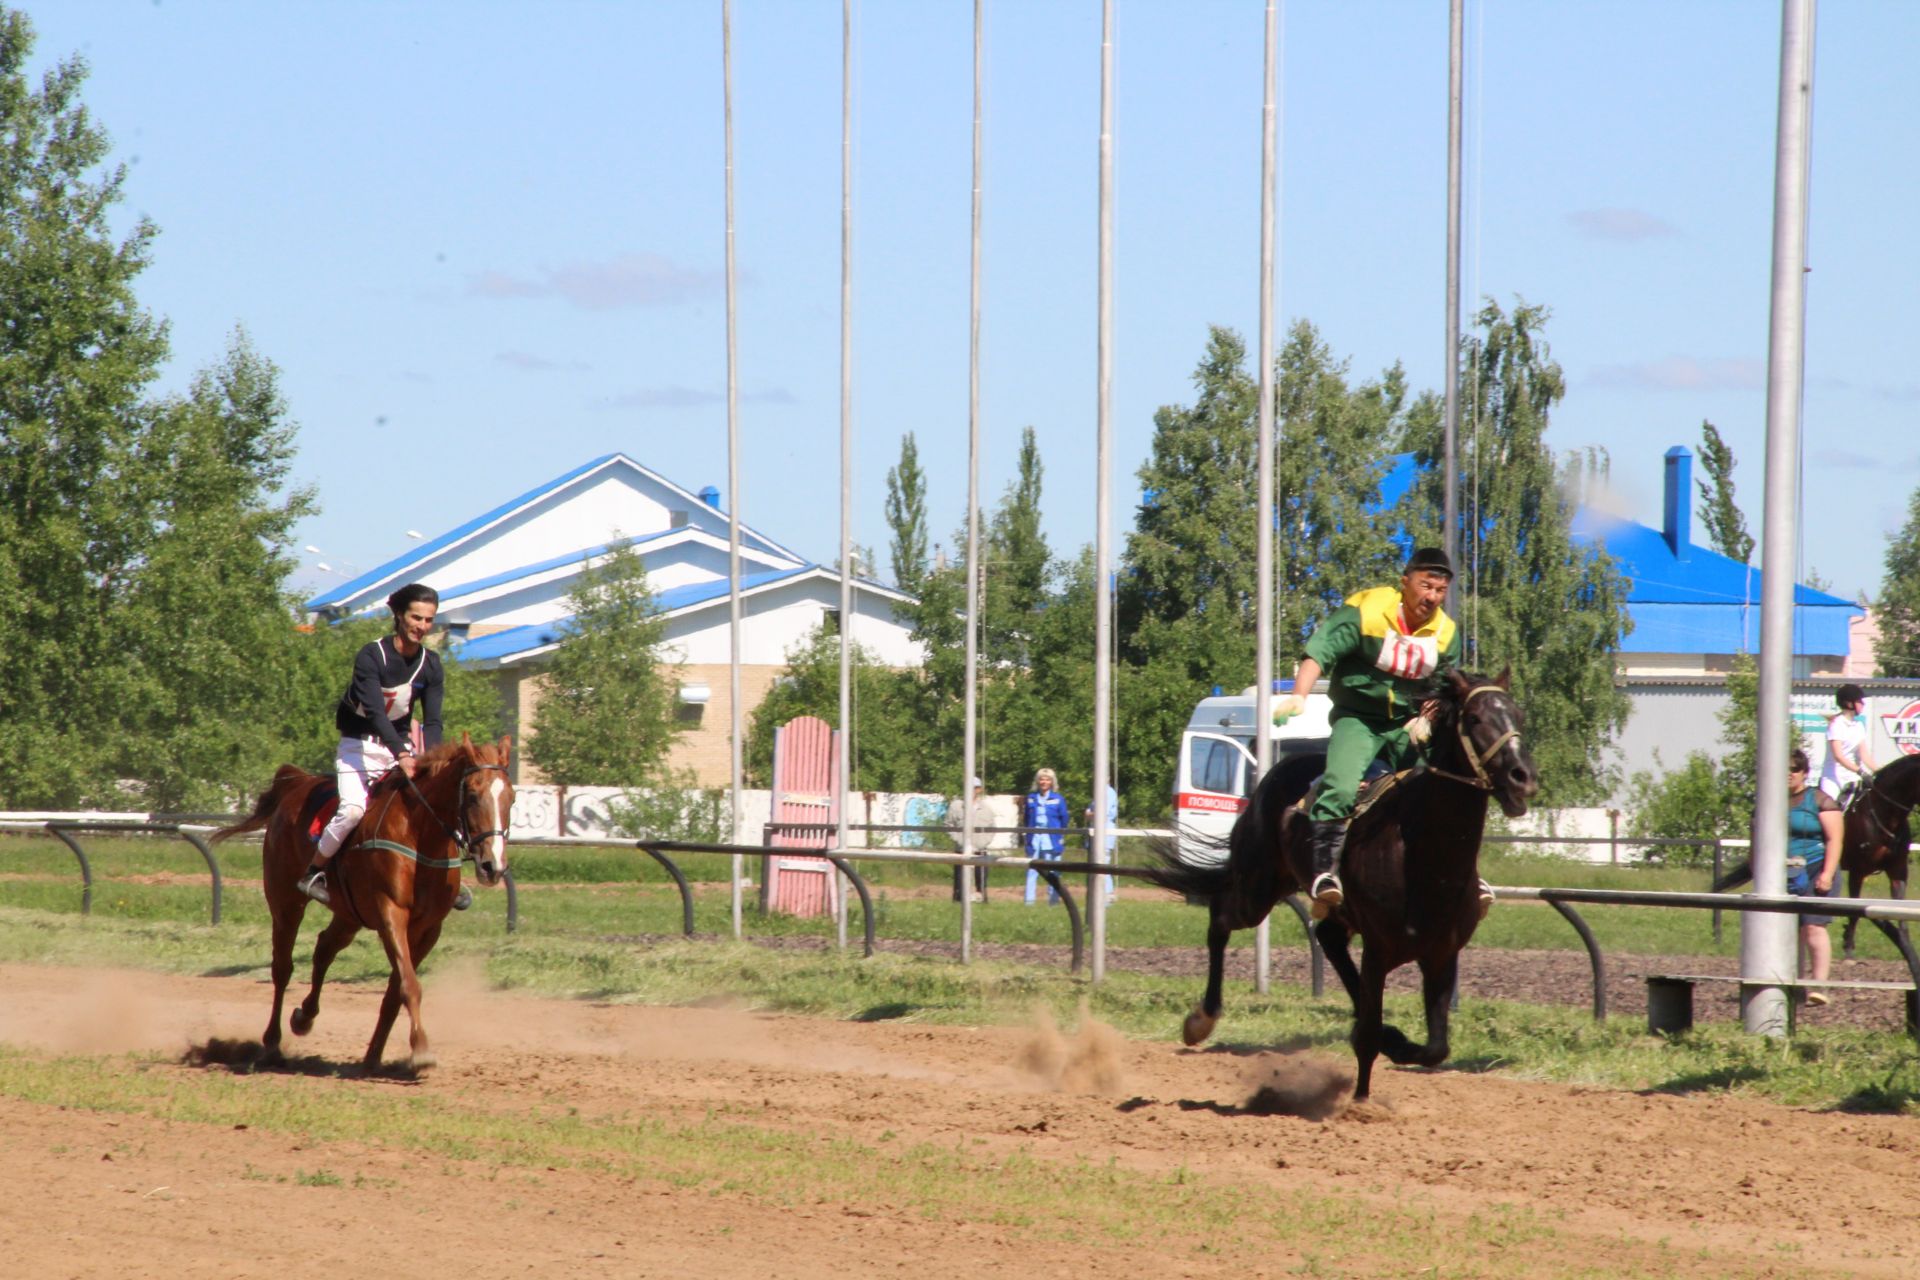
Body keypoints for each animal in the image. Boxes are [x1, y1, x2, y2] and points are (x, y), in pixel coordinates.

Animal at [216, 729, 518, 1074]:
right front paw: (421, 1049)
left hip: (349, 914)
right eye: (472, 796)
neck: (420, 833)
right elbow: (408, 984)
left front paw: (374, 1055)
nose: (493, 866)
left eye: (511, 798)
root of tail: (297, 783)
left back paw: (304, 1017)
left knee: (324, 948)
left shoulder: (429, 928)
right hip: (285, 903)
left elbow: (395, 991)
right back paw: (271, 1043)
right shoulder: (391, 914)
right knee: (282, 967)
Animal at [1827, 752, 1920, 959]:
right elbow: (1854, 911)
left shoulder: (1897, 872)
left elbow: (1902, 919)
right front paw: (1848, 949)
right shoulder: (1857, 871)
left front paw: (1907, 950)